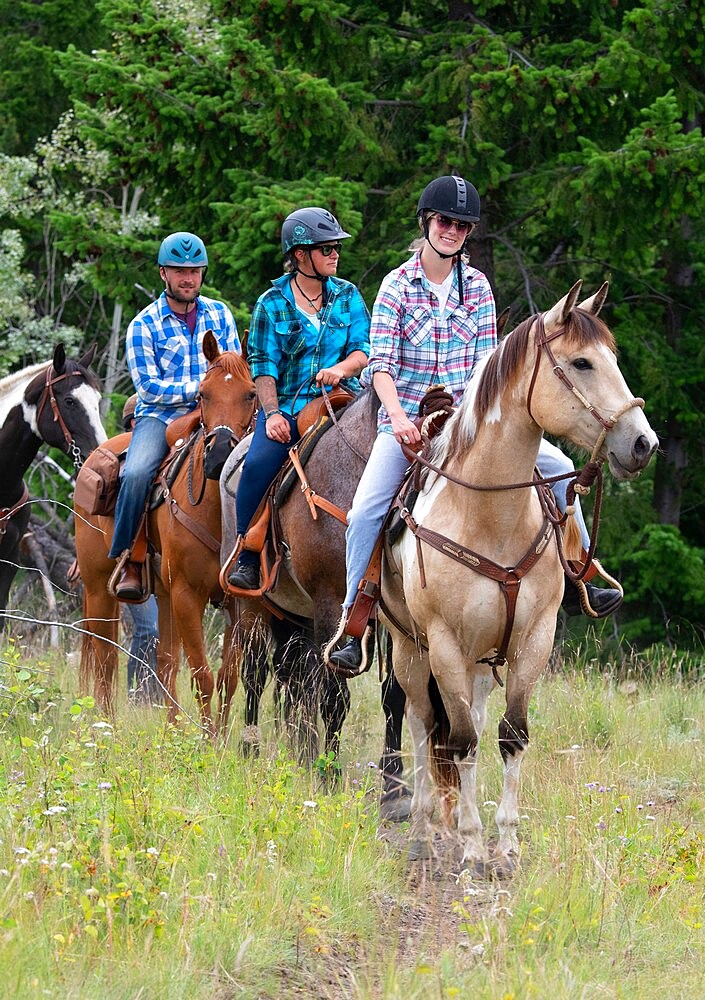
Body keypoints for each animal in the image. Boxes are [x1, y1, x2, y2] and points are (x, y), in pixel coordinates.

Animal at [75, 332, 256, 732]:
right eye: (202, 394)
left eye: (251, 393)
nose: (221, 454)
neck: (218, 512)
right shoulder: (188, 596)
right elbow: (203, 676)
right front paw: (207, 740)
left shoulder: (234, 602)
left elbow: (228, 678)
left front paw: (220, 738)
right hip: (98, 589)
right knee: (105, 659)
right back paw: (106, 727)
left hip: (163, 593)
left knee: (165, 663)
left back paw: (172, 730)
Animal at [376, 284, 656, 876]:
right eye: (581, 362)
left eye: (613, 357)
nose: (644, 444)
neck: (490, 517)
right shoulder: (445, 646)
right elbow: (459, 743)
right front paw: (471, 844)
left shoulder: (534, 640)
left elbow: (511, 736)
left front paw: (504, 844)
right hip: (412, 652)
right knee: (422, 727)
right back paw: (423, 830)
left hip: (483, 661)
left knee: (472, 724)